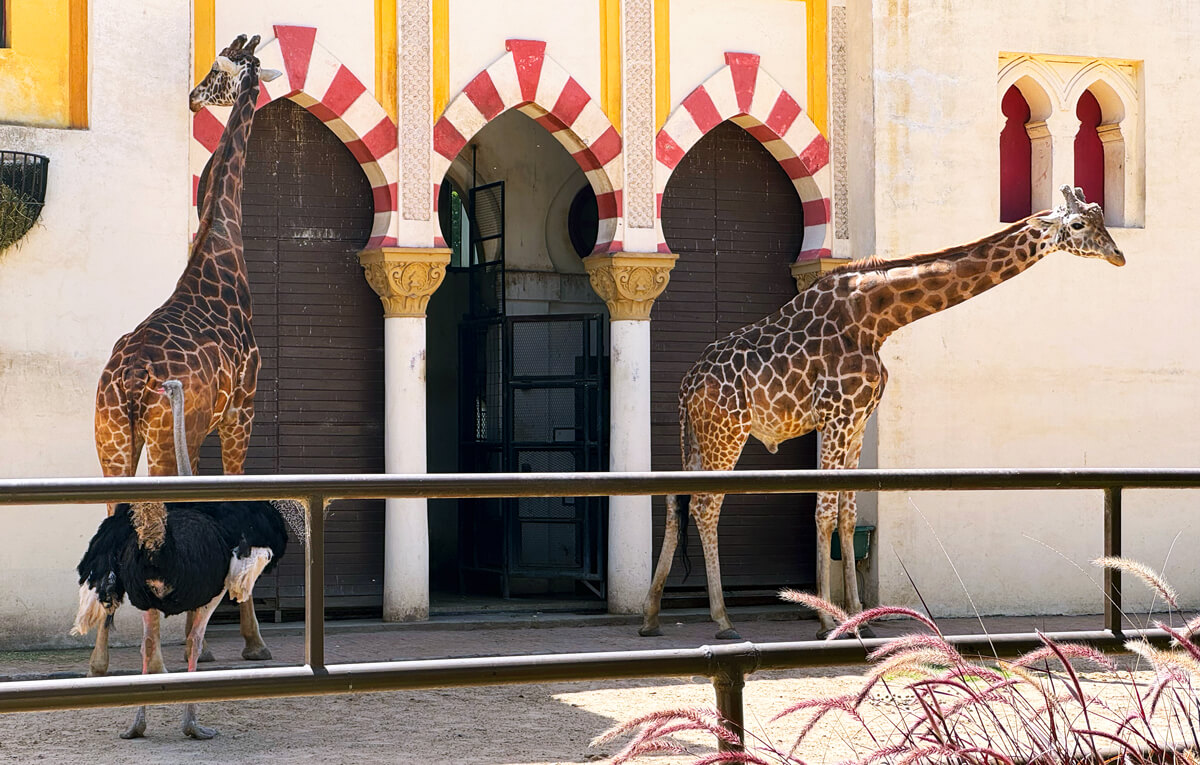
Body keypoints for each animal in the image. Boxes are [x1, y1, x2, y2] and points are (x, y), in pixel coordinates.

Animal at [88, 34, 282, 676]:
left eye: (218, 70)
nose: (195, 96)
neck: (219, 250)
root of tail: (127, 380)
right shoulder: (240, 410)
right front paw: (250, 641)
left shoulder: (197, 429)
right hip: (154, 437)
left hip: (112, 438)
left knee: (112, 513)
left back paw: (101, 659)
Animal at [640, 185, 1125, 640]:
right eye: (1079, 225)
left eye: (1101, 217)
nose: (1118, 255)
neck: (878, 318)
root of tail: (685, 386)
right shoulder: (836, 414)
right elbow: (824, 510)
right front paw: (824, 619)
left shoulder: (858, 420)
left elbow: (848, 513)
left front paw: (858, 617)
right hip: (727, 431)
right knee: (705, 506)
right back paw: (722, 619)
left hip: (697, 435)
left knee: (675, 499)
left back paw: (650, 616)